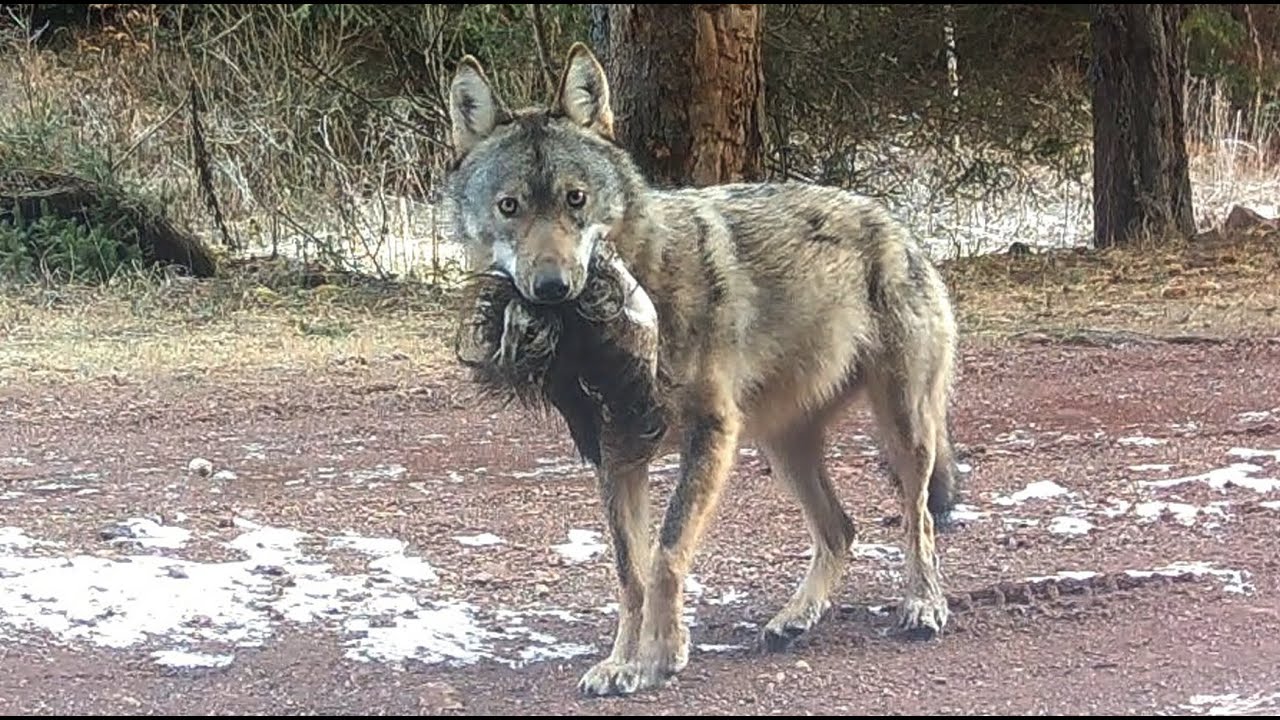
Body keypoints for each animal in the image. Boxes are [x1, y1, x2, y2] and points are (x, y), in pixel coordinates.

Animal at [443, 42, 963, 698]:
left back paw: (923, 606)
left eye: (575, 199)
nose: (553, 288)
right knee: (841, 531)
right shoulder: (617, 455)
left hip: (902, 433)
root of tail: (896, 224)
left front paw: (661, 654)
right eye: (509, 207)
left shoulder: (710, 435)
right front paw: (621, 662)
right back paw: (794, 620)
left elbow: (665, 554)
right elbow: (630, 572)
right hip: (781, 449)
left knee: (917, 521)